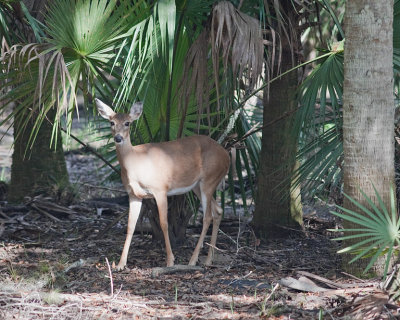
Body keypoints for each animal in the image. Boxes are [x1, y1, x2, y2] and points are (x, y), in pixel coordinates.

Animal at [95, 99, 230, 268]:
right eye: (111, 122)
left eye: (127, 123)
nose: (118, 138)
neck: (136, 164)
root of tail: (226, 155)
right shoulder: (134, 194)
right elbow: (130, 226)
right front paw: (120, 264)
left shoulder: (160, 189)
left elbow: (164, 223)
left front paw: (170, 260)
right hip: (197, 186)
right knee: (218, 211)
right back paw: (208, 259)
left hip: (209, 179)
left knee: (207, 217)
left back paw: (193, 260)